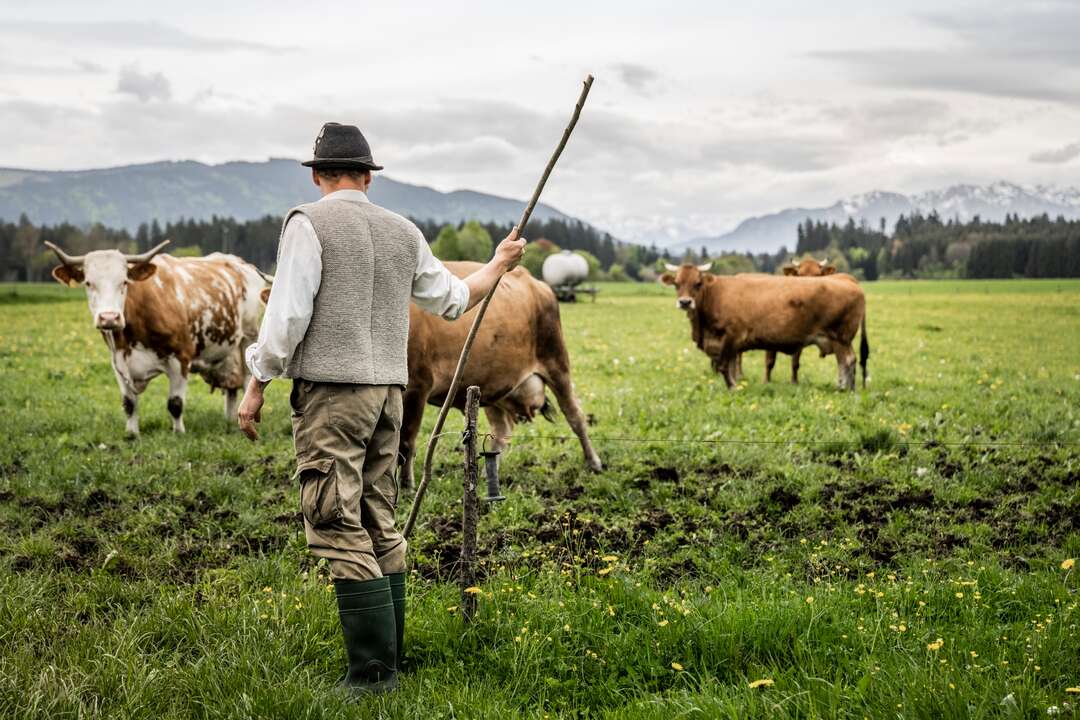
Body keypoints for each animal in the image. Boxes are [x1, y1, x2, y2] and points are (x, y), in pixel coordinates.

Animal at [46, 240, 267, 434]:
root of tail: (240, 263)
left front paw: (178, 432)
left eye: (124, 282)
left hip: (248, 337)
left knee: (247, 381)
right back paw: (229, 420)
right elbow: (129, 403)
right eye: (88, 283)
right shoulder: (117, 362)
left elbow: (175, 403)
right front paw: (132, 433)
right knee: (232, 389)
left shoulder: (181, 357)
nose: (109, 317)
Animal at [400, 261, 602, 487]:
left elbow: (406, 441)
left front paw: (407, 486)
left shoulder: (417, 385)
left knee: (575, 415)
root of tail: (537, 283)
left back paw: (593, 462)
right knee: (501, 430)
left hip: (556, 361)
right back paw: (488, 474)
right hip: (492, 384)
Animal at [660, 263, 869, 390]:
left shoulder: (731, 337)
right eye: (676, 283)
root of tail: (847, 280)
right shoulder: (731, 344)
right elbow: (732, 367)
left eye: (698, 283)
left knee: (848, 360)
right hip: (837, 340)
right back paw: (843, 386)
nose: (685, 302)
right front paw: (735, 385)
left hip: (841, 337)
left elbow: (724, 366)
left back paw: (845, 388)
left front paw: (732, 388)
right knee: (844, 362)